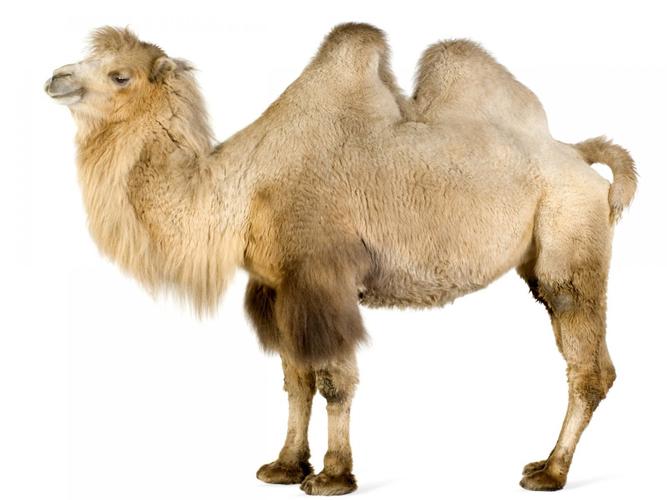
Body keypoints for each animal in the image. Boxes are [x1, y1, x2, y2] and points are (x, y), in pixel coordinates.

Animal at [45, 23, 636, 495]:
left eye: (120, 75)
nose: (56, 78)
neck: (242, 189)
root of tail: (580, 157)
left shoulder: (321, 278)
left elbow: (333, 380)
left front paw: (332, 475)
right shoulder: (278, 287)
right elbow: (296, 380)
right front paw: (285, 466)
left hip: (569, 238)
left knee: (586, 359)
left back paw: (549, 472)